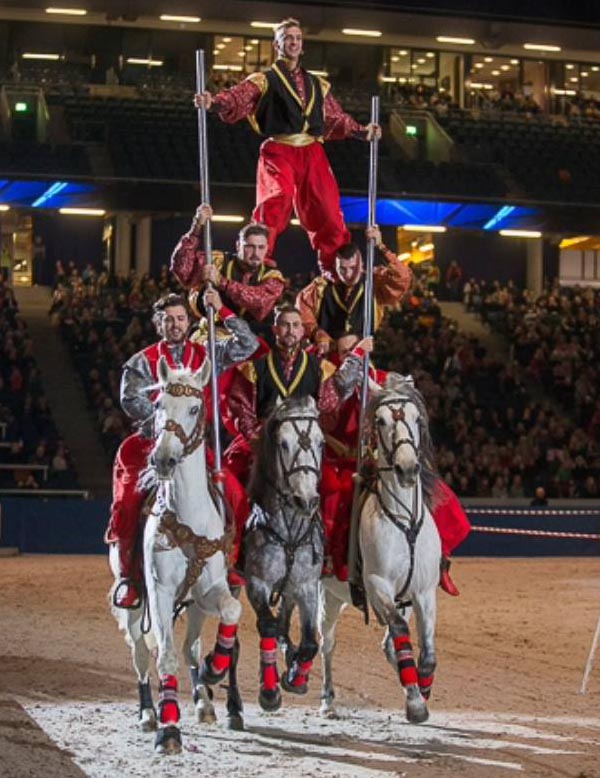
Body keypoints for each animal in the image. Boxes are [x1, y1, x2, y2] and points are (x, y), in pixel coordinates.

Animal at [110, 358, 241, 752]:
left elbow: (232, 611)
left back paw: (202, 698)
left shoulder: (209, 589)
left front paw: (216, 666)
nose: (163, 460)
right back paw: (149, 713)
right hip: (135, 606)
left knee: (190, 648)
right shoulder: (159, 592)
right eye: (157, 405)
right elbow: (164, 656)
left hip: (194, 606)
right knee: (141, 655)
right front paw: (169, 727)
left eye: (196, 408)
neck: (186, 513)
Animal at [243, 394, 324, 708]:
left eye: (321, 442)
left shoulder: (307, 585)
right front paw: (269, 691)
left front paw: (296, 677)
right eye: (283, 443)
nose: (307, 500)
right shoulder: (257, 582)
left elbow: (310, 642)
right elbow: (266, 625)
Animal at [318, 372, 440, 720]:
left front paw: (422, 687)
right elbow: (399, 631)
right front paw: (415, 703)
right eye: (381, 420)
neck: (404, 523)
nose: (407, 469)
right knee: (326, 642)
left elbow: (427, 651)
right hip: (328, 595)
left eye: (416, 418)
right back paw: (327, 699)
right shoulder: (377, 585)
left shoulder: (424, 592)